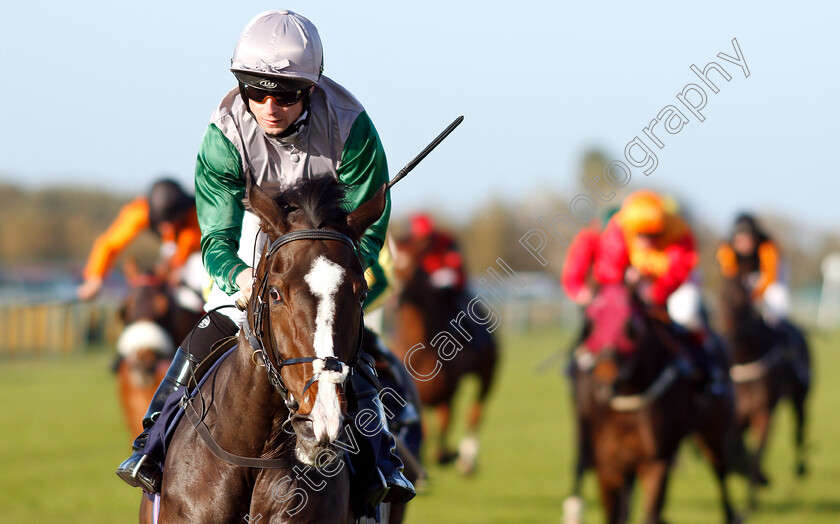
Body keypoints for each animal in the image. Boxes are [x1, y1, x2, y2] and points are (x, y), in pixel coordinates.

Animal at [388, 235, 498, 472]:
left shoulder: (448, 390)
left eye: (413, 269)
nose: (394, 299)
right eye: (392, 264)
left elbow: (445, 426)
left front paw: (449, 455)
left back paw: (467, 457)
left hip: (488, 373)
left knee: (476, 411)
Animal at [568, 282, 740, 524]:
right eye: (590, 324)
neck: (625, 408)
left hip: (713, 433)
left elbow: (650, 511)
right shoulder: (608, 466)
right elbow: (615, 513)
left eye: (630, 327)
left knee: (721, 472)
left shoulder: (655, 462)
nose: (604, 382)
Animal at [720, 274, 812, 508]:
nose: (730, 332)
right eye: (720, 297)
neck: (745, 359)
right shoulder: (738, 416)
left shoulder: (764, 414)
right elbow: (734, 447)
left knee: (800, 429)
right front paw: (760, 478)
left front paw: (753, 498)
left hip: (800, 397)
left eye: (742, 299)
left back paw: (801, 468)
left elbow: (757, 454)